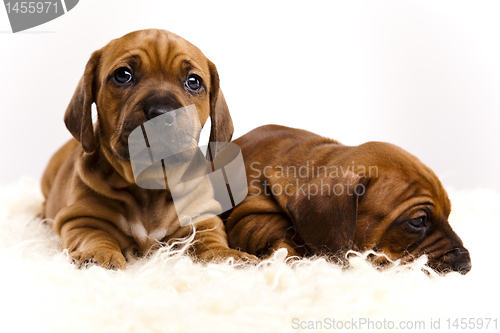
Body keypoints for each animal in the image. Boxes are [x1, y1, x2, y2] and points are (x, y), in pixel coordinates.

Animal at [41, 29, 256, 270]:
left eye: (193, 82)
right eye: (123, 75)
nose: (161, 113)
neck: (150, 184)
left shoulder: (203, 215)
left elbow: (209, 237)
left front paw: (226, 256)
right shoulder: (81, 218)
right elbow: (95, 236)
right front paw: (99, 256)